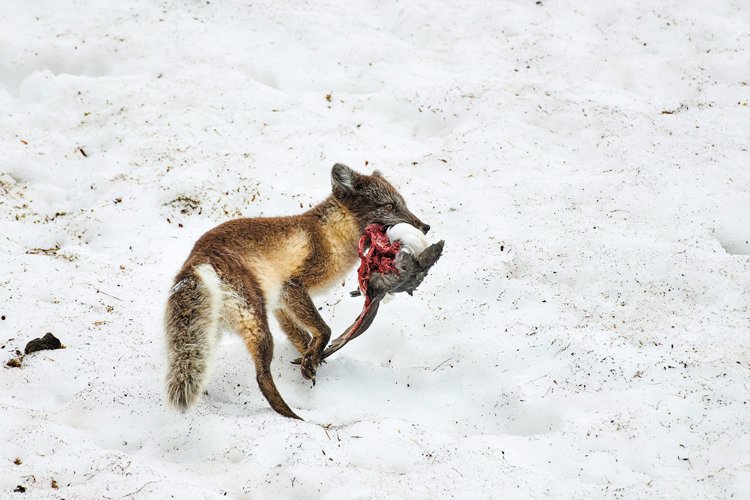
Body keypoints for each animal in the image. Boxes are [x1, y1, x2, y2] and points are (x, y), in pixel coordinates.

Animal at [167, 163, 432, 418]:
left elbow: (302, 337)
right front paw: (313, 360)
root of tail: (197, 260)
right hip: (257, 324)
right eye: (389, 205)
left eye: (403, 203)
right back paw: (293, 417)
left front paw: (312, 362)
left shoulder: (280, 304)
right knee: (261, 375)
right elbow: (325, 330)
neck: (331, 234)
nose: (425, 227)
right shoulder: (292, 285)